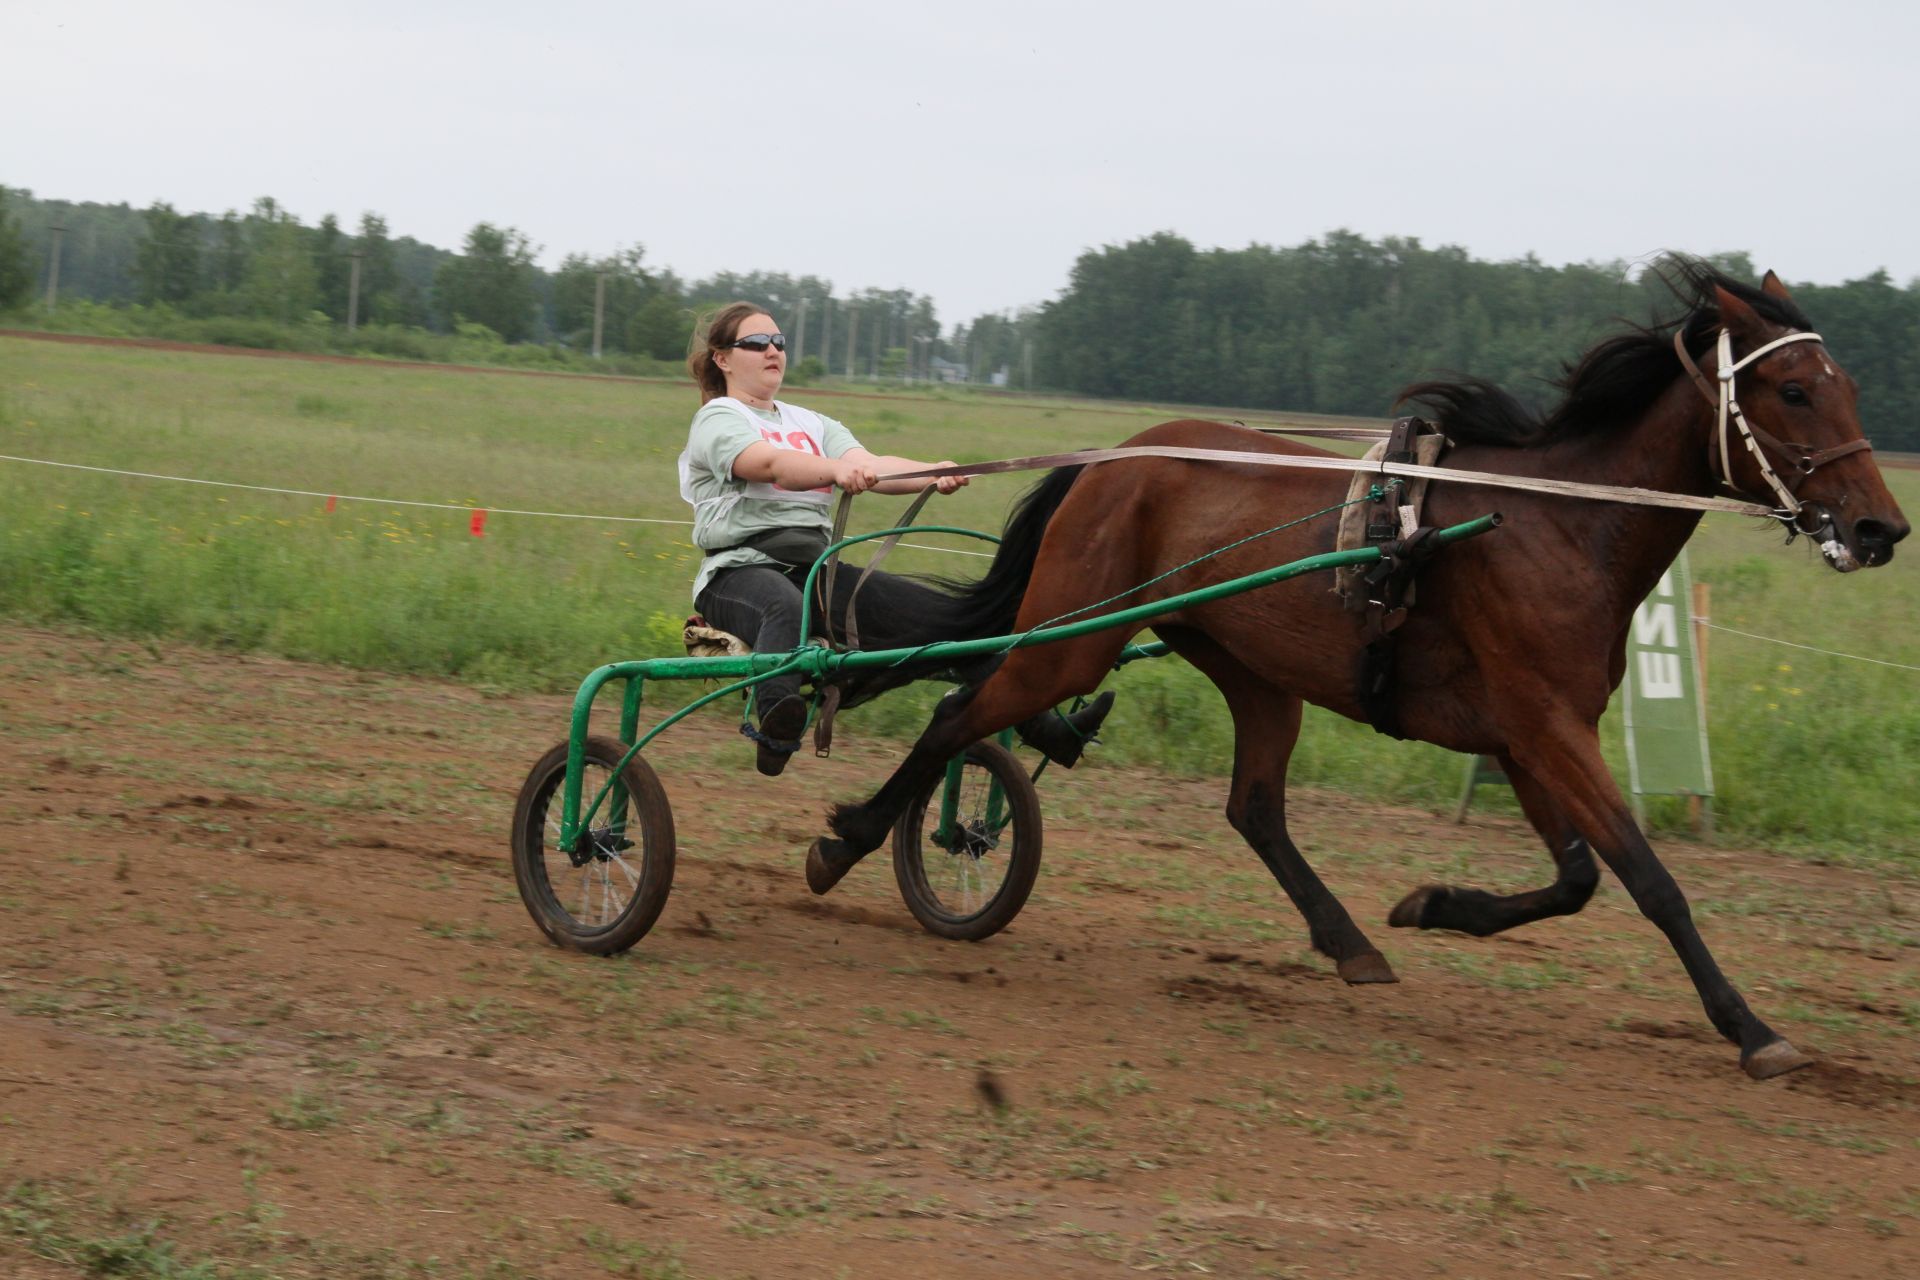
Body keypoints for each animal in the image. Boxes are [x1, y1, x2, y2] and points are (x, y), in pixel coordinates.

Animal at [806, 268, 1904, 1082]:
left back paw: (1347, 939)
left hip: (1252, 669)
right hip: (1071, 637)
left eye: (1847, 386)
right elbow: (1649, 878)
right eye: (1794, 389)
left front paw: (1431, 905)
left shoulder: (1526, 734)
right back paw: (849, 840)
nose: (1880, 528)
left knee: (1253, 807)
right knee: (959, 713)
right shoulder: (1547, 727)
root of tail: (1116, 456)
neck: (1555, 524)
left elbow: (1578, 877)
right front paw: (1751, 1026)